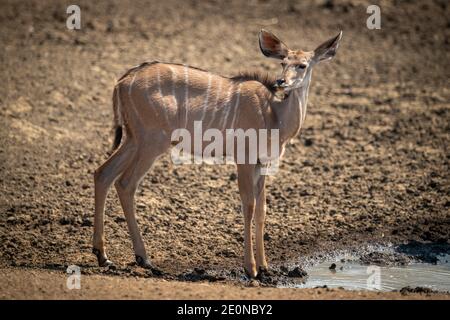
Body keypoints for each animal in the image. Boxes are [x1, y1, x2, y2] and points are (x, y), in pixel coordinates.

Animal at [93, 30, 342, 278]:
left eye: (302, 65)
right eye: (283, 62)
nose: (282, 82)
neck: (273, 114)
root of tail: (122, 81)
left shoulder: (261, 164)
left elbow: (261, 210)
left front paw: (264, 266)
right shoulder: (244, 160)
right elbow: (249, 206)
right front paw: (250, 268)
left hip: (134, 139)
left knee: (103, 173)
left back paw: (103, 256)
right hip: (152, 143)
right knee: (125, 183)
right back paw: (143, 258)